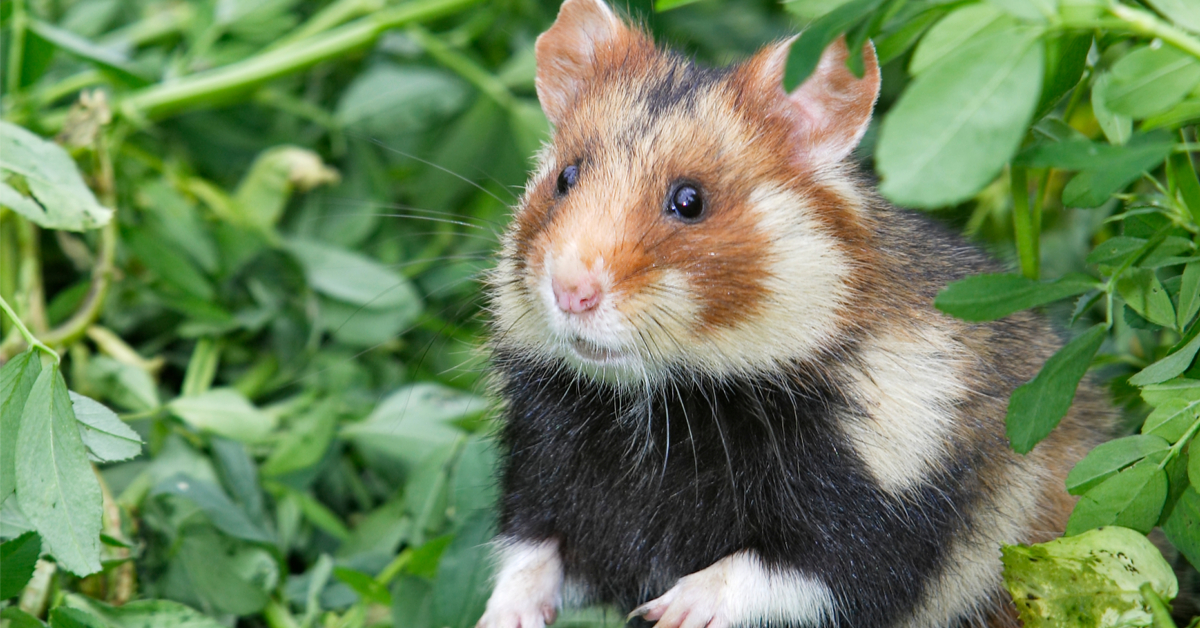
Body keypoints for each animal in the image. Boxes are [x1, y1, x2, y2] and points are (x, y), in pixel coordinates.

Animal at [478, 0, 1110, 626]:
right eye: (565, 178)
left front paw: (666, 610)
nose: (570, 292)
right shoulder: (541, 471)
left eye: (690, 201)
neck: (652, 397)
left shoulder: (875, 518)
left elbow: (767, 572)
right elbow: (530, 554)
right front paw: (501, 616)